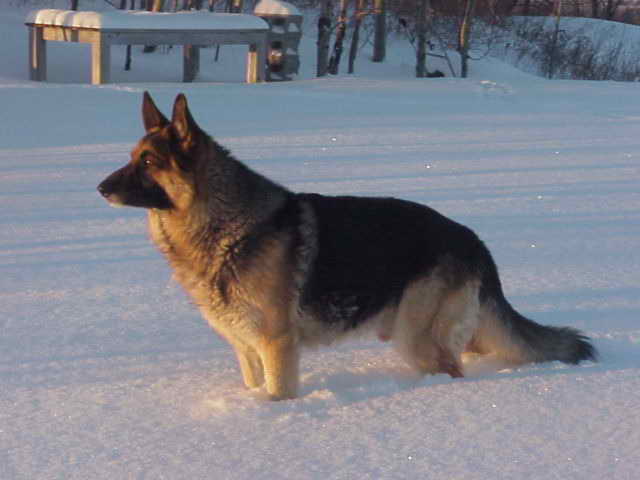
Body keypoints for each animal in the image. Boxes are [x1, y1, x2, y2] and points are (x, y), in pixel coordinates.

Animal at [97, 92, 596, 400]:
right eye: (131, 157)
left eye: (148, 162)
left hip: (417, 338)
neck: (222, 221)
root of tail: (475, 240)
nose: (100, 188)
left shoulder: (277, 345)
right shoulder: (246, 349)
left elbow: (277, 395)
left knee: (452, 371)